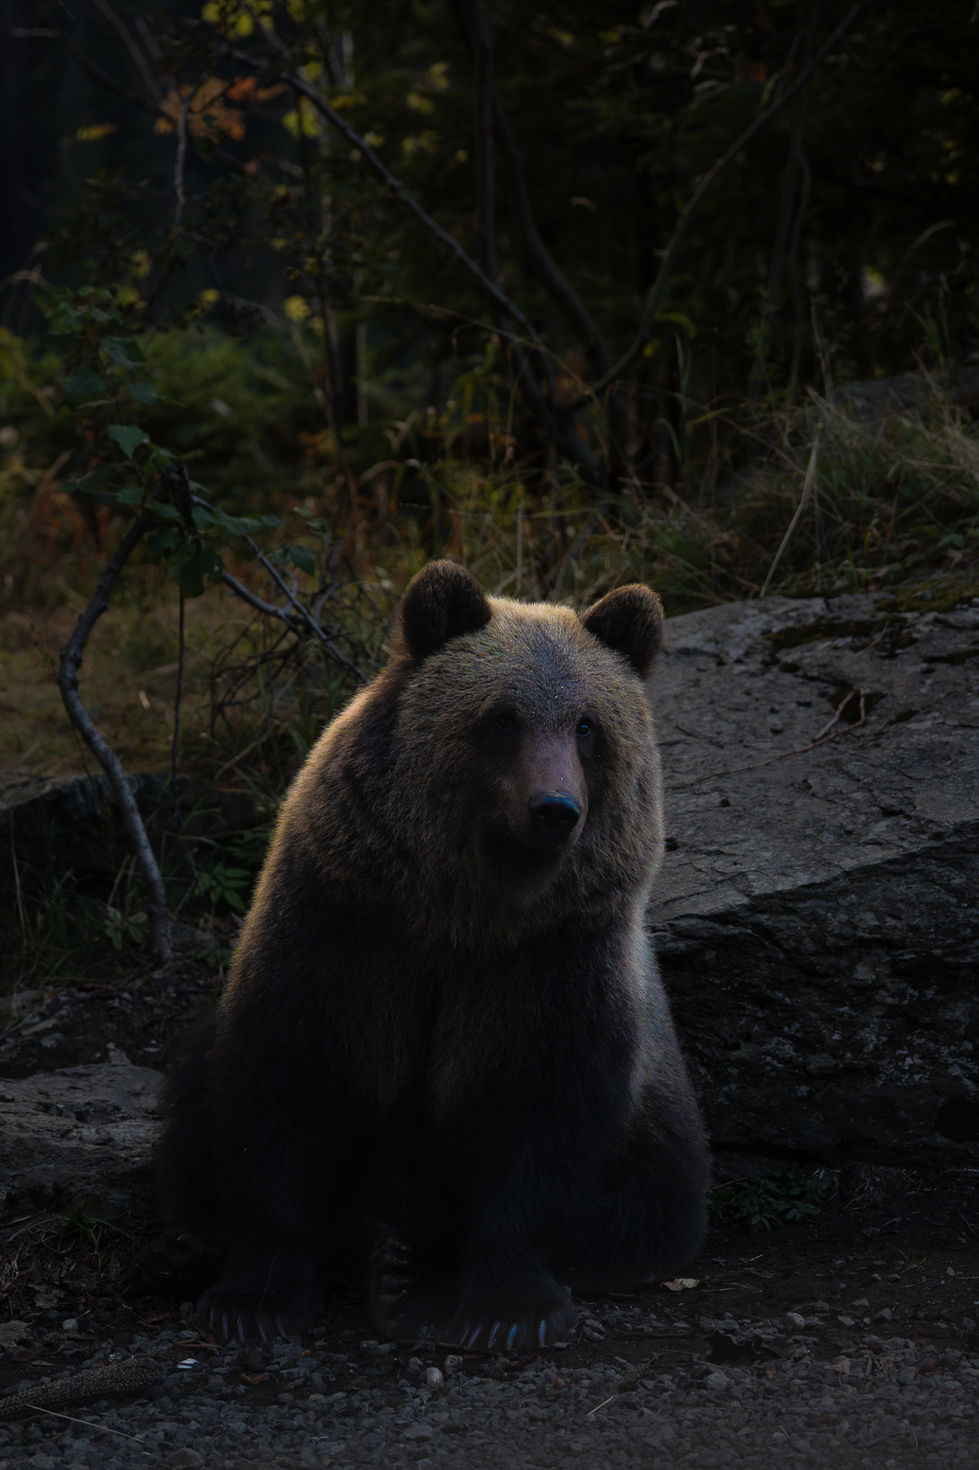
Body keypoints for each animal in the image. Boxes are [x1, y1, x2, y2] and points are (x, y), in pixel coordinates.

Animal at [158, 559, 710, 1350]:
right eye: (503, 717)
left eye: (587, 726)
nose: (554, 809)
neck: (464, 911)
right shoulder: (349, 924)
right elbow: (288, 1088)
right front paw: (252, 1298)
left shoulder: (554, 957)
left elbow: (535, 1114)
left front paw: (511, 1308)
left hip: (660, 1118)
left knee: (648, 1203)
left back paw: (400, 1270)